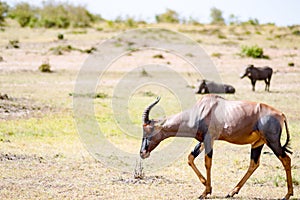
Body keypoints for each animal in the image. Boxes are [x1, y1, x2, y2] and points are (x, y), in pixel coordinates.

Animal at [140, 94, 292, 199]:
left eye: (148, 131)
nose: (143, 153)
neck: (203, 109)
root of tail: (281, 115)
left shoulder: (209, 139)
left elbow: (208, 163)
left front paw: (205, 192)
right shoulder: (203, 140)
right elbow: (190, 158)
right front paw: (207, 186)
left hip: (273, 141)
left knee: (286, 159)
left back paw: (287, 195)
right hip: (258, 143)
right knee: (254, 164)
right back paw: (232, 192)